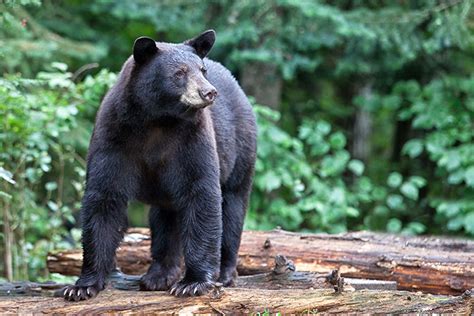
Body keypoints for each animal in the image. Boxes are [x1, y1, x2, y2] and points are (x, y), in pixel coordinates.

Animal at [64, 30, 258, 302]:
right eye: (179, 73)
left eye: (202, 70)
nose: (209, 92)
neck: (158, 120)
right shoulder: (113, 136)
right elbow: (104, 197)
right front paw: (82, 285)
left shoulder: (192, 139)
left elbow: (201, 193)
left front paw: (193, 283)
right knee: (165, 219)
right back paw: (159, 275)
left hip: (240, 150)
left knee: (232, 206)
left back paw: (224, 273)